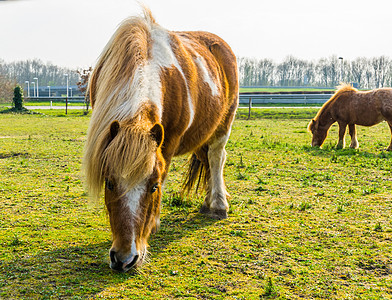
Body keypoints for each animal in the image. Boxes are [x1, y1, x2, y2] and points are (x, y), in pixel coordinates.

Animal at [82, 8, 239, 272]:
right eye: (109, 183)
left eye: (153, 187)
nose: (124, 259)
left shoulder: (168, 141)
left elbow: (164, 172)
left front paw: (153, 223)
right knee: (207, 158)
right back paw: (209, 201)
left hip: (224, 123)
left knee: (217, 157)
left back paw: (218, 205)